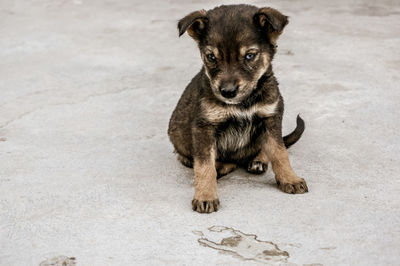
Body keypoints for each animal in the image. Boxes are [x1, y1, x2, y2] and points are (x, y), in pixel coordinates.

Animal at [167, 4, 308, 214]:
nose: (227, 92)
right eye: (211, 57)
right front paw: (205, 196)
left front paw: (290, 178)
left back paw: (258, 160)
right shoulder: (204, 126)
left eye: (249, 56)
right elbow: (204, 165)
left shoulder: (270, 117)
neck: (243, 103)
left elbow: (279, 152)